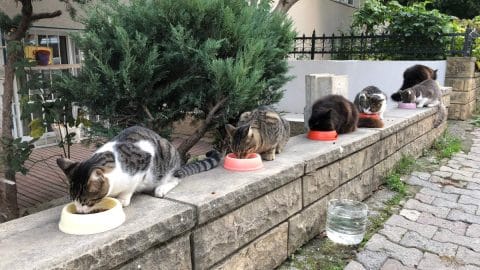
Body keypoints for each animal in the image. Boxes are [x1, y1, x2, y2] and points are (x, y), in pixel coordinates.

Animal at [57, 125, 220, 212]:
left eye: (86, 201)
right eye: (73, 199)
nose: (79, 211)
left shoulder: (144, 162)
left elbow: (130, 187)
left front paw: (123, 199)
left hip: (167, 155)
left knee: (175, 178)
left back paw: (161, 188)